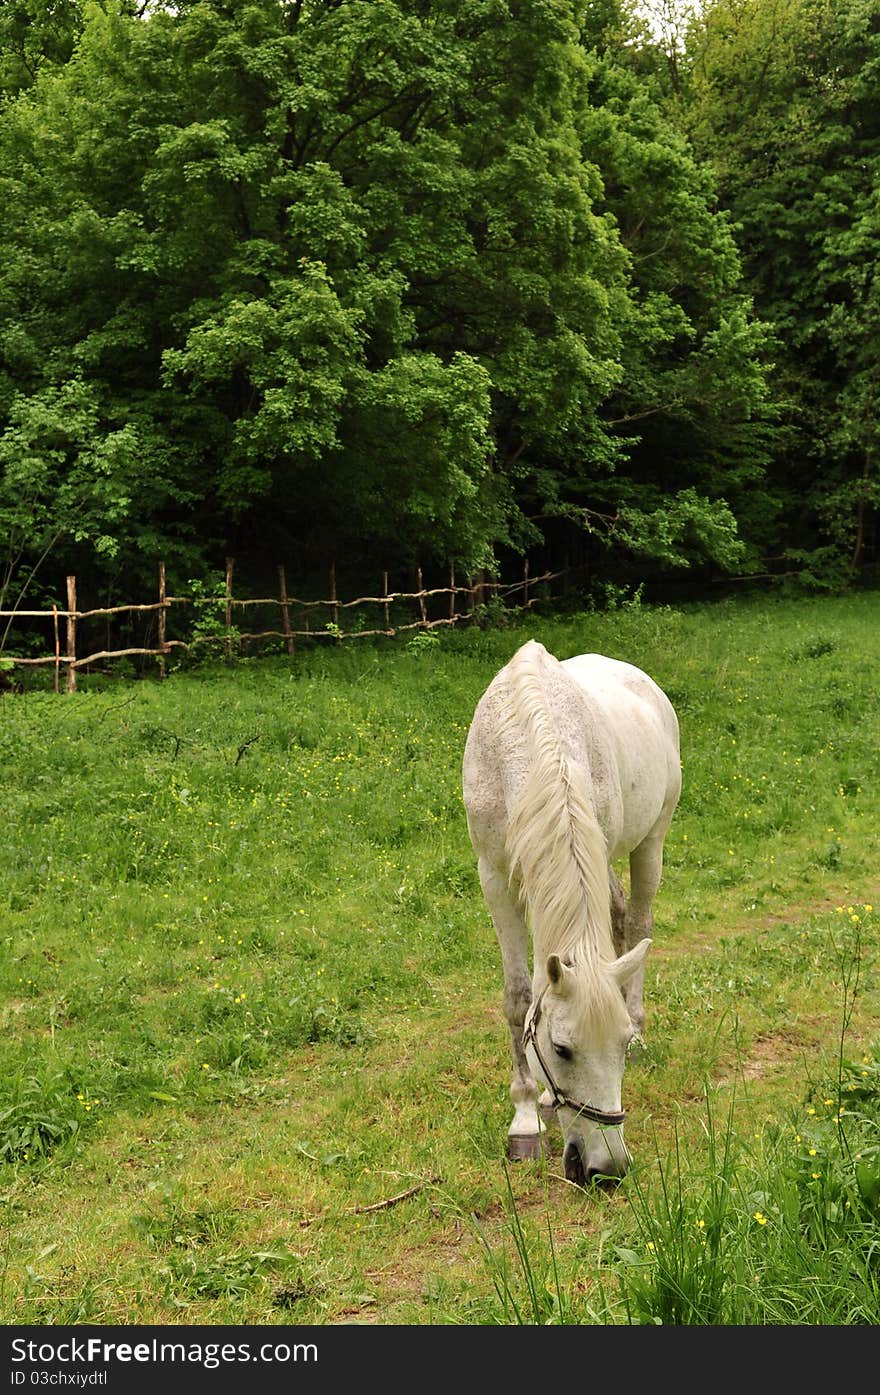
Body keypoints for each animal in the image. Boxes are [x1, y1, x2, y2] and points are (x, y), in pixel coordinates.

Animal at [460, 638, 680, 1182]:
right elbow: (519, 997)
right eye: (562, 1049)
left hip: (651, 841)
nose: (608, 1168)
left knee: (638, 922)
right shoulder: (495, 878)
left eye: (616, 1045)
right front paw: (525, 1116)